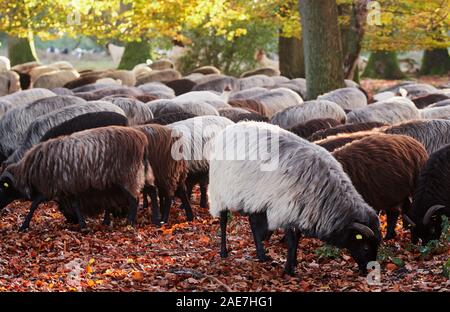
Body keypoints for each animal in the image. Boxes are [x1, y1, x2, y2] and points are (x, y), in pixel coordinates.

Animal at [0, 125, 152, 230]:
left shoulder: (52, 187)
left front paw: (23, 226)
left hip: (127, 175)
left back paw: (130, 222)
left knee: (134, 199)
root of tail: (142, 139)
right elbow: (76, 205)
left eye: (3, 187)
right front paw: (83, 225)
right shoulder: (68, 186)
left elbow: (34, 204)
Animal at [209, 122, 382, 276]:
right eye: (366, 247)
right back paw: (223, 252)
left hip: (254, 196)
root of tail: (228, 129)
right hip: (220, 190)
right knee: (223, 220)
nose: (368, 271)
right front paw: (288, 270)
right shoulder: (285, 209)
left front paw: (294, 262)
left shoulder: (300, 209)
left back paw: (261, 255)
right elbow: (291, 241)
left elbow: (297, 238)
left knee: (252, 222)